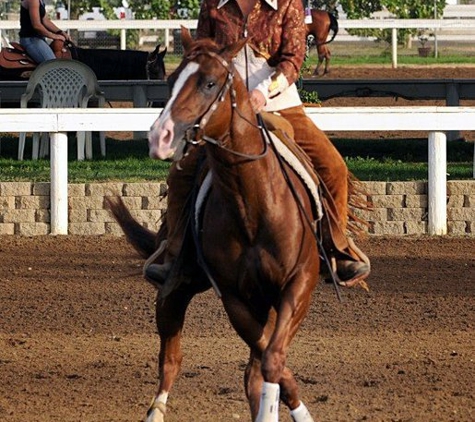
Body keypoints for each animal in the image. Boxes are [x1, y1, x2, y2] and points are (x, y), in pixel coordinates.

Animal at [108, 28, 324, 420]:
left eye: (209, 83)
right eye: (170, 80)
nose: (160, 135)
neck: (254, 208)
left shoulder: (298, 285)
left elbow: (272, 359)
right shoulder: (235, 299)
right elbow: (270, 360)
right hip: (176, 289)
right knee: (171, 358)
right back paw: (156, 409)